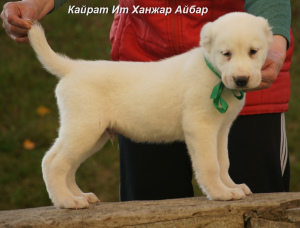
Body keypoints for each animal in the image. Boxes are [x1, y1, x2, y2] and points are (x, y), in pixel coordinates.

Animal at [27, 12, 272, 208]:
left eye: (253, 51)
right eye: (226, 53)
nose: (241, 79)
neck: (213, 73)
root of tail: (74, 67)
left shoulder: (221, 130)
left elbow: (223, 163)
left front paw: (232, 187)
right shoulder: (200, 128)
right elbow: (210, 165)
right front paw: (220, 193)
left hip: (94, 135)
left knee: (68, 166)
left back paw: (80, 196)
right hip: (84, 129)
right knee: (53, 162)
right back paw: (66, 201)